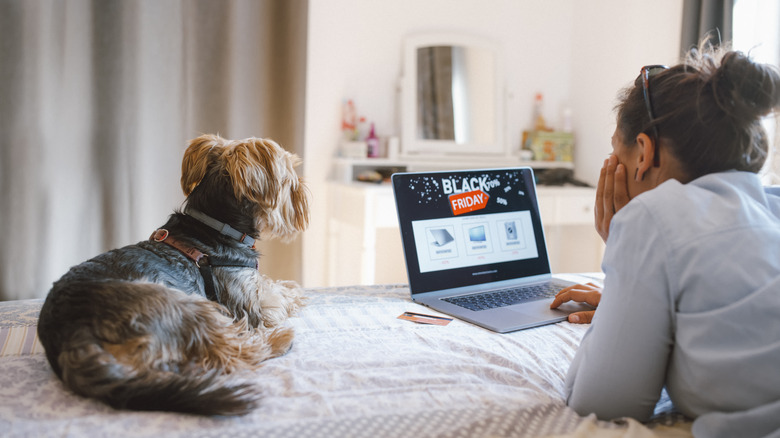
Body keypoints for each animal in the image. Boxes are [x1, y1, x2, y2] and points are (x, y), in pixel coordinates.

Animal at [36, 135, 310, 416]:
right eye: (289, 176)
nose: (302, 190)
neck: (217, 226)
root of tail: (70, 335)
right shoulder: (251, 300)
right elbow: (278, 297)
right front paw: (295, 291)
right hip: (178, 303)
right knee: (231, 352)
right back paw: (279, 340)